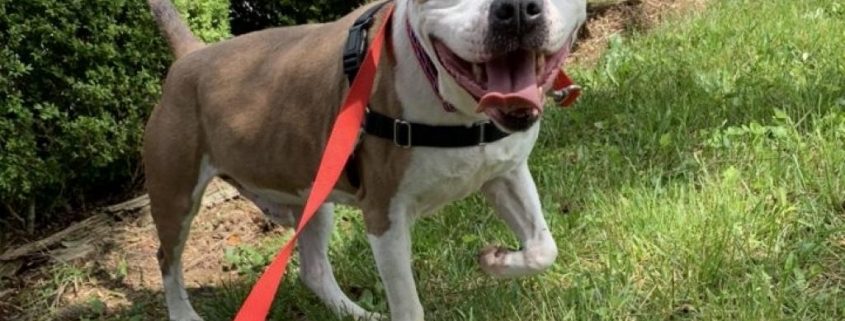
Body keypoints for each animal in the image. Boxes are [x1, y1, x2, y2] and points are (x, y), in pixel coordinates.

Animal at [145, 0, 588, 318]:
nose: (516, 8)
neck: (453, 105)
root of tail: (191, 56)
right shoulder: (385, 217)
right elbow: (408, 307)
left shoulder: (506, 173)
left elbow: (543, 248)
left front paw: (496, 261)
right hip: (176, 196)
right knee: (167, 259)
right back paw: (184, 314)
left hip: (313, 191)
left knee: (314, 270)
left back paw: (354, 313)